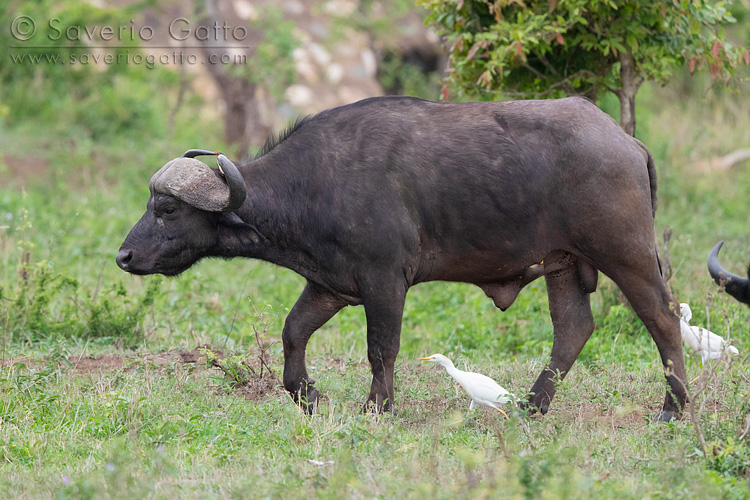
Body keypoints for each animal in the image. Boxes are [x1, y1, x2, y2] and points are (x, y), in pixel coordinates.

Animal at [120, 95, 692, 420]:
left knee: (663, 320)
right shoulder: (331, 284)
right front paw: (305, 394)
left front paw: (378, 408)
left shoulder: (384, 282)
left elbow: (381, 350)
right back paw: (531, 407)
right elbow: (293, 331)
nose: (125, 256)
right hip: (565, 264)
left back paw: (673, 409)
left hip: (625, 252)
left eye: (167, 209)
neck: (318, 182)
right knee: (573, 328)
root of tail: (626, 141)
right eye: (150, 203)